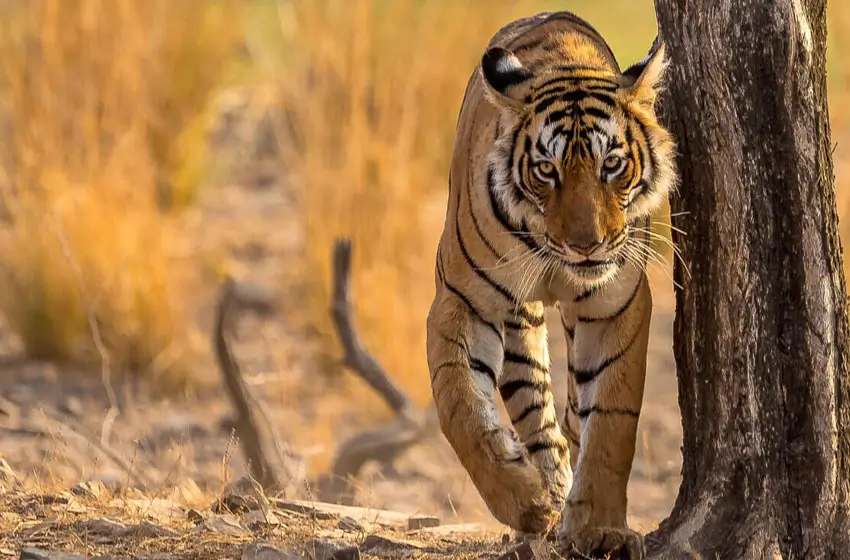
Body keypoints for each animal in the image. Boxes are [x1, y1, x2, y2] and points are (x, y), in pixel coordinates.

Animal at [425, 10, 677, 558]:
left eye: (612, 165)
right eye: (546, 170)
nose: (587, 246)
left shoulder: (616, 305)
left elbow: (611, 422)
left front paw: (598, 526)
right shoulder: (462, 301)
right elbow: (459, 407)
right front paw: (524, 502)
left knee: (573, 415)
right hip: (518, 325)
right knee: (537, 414)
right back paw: (545, 500)